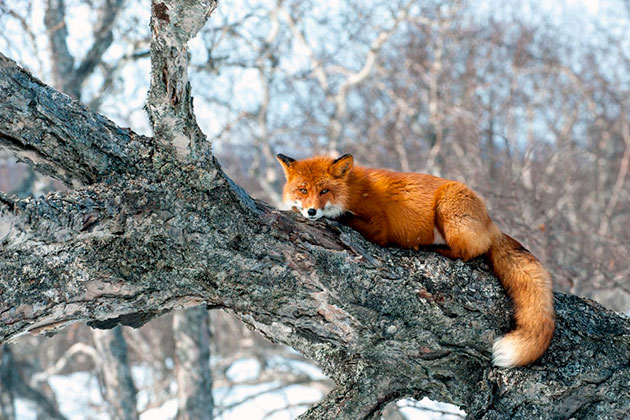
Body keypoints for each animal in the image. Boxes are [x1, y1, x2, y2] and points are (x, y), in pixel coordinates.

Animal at [278, 153, 556, 368]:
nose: (311, 211)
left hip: (447, 208)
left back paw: (434, 248)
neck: (352, 190)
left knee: (468, 251)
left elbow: (347, 218)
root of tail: (491, 222)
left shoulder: (377, 226)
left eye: (325, 190)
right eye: (303, 190)